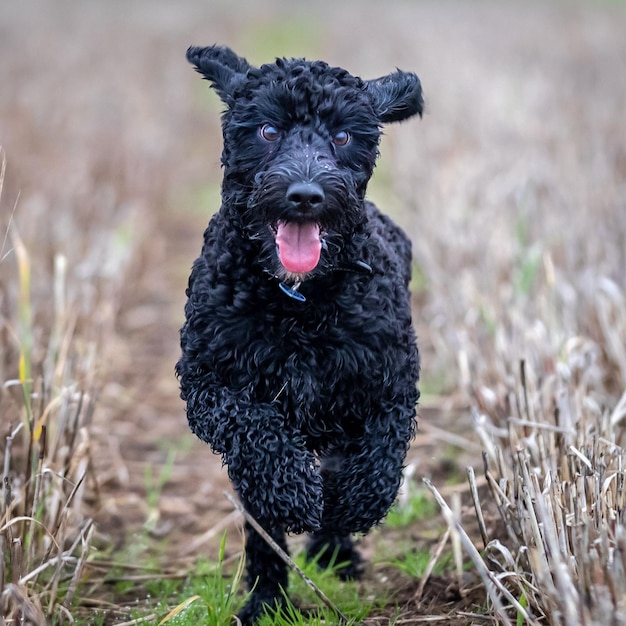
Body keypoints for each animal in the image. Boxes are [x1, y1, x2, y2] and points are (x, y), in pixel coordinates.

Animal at [174, 45, 420, 624]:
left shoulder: (388, 383)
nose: (305, 195)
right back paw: (266, 598)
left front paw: (352, 508)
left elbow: (380, 456)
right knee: (261, 521)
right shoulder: (207, 383)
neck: (298, 304)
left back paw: (334, 545)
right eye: (268, 129)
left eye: (344, 135)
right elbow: (258, 434)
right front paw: (294, 496)